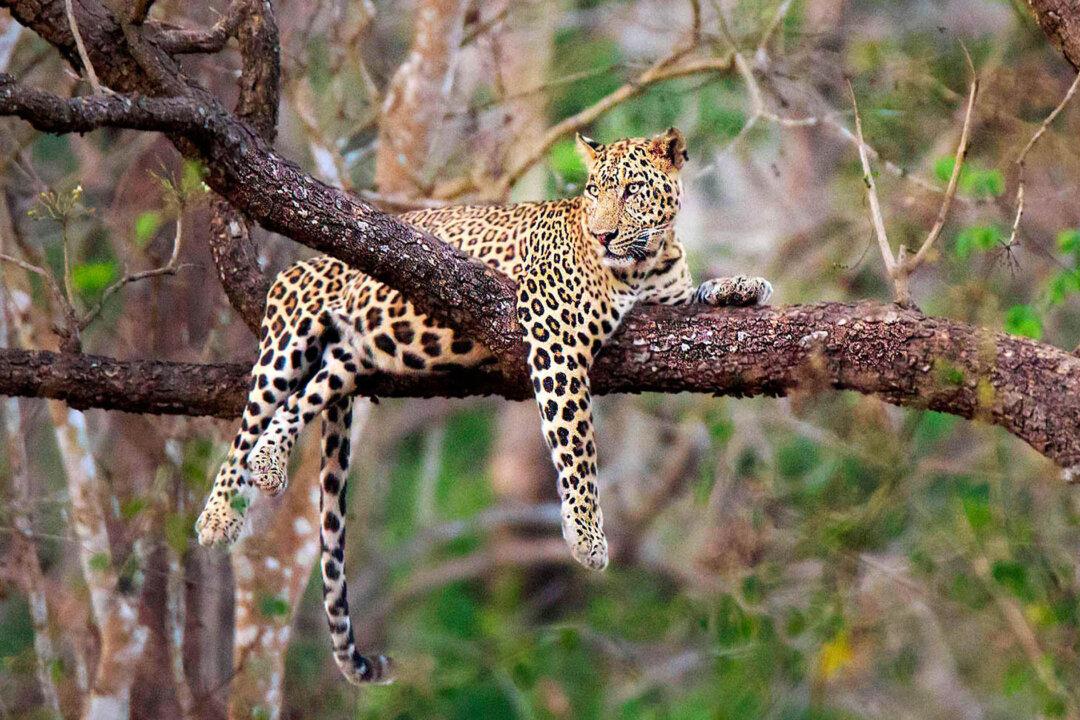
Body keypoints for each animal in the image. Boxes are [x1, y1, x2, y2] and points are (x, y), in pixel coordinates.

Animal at [194, 128, 773, 685]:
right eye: (593, 191)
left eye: (632, 191)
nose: (604, 235)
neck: (645, 263)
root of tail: (307, 263)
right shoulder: (555, 333)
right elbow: (577, 442)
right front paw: (586, 535)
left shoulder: (665, 302)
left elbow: (698, 295)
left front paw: (744, 285)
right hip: (288, 332)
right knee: (248, 422)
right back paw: (218, 515)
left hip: (349, 359)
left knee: (300, 400)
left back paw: (270, 462)